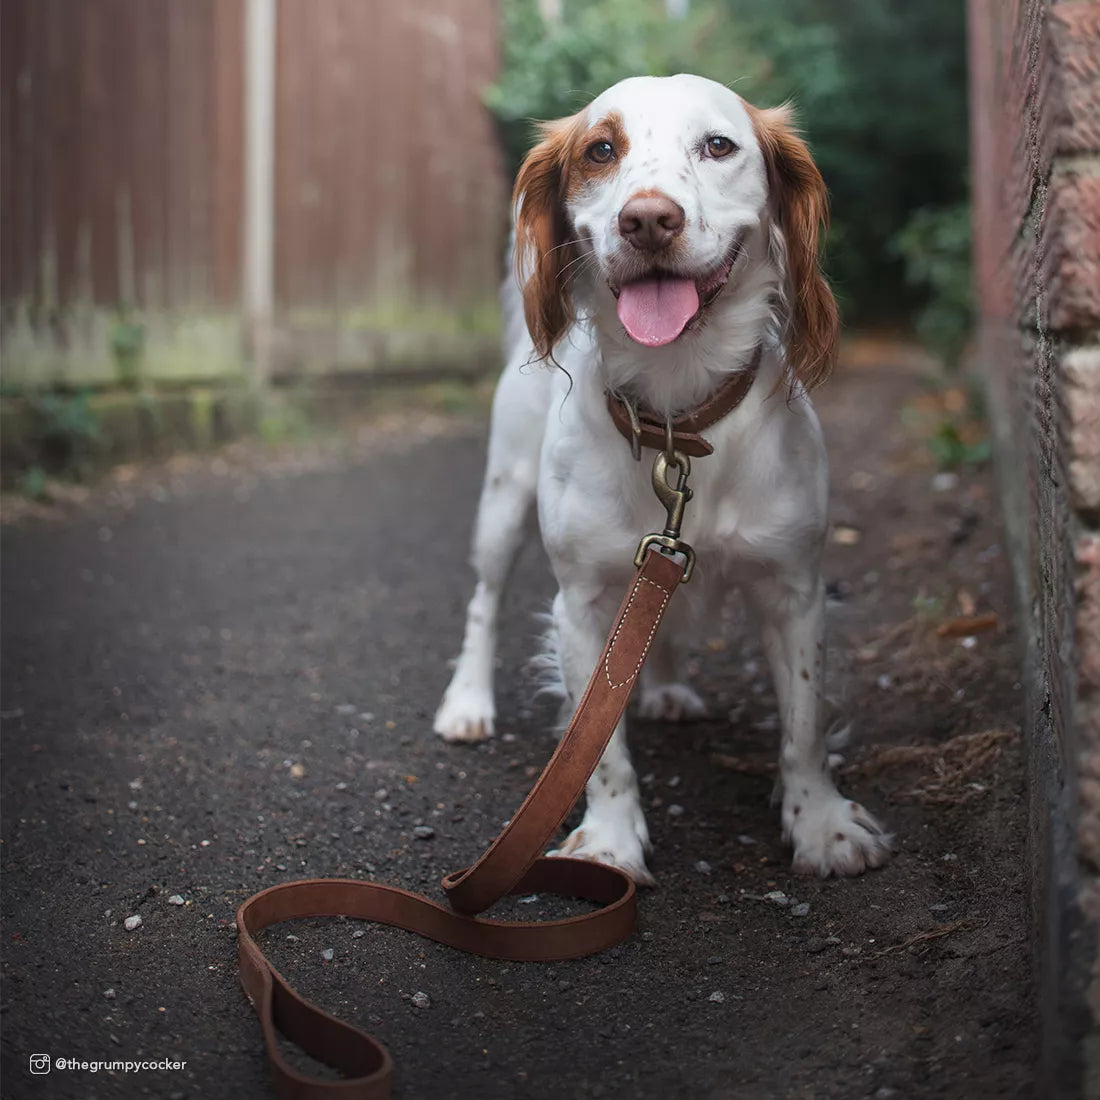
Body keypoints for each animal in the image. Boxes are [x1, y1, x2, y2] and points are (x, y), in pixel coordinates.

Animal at [433, 73, 888, 884]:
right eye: (600, 150)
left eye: (719, 145)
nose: (647, 220)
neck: (678, 418)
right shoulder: (581, 601)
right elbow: (600, 749)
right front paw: (611, 842)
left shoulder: (794, 588)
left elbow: (804, 723)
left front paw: (821, 824)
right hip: (503, 504)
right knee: (484, 602)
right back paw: (467, 702)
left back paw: (669, 686)